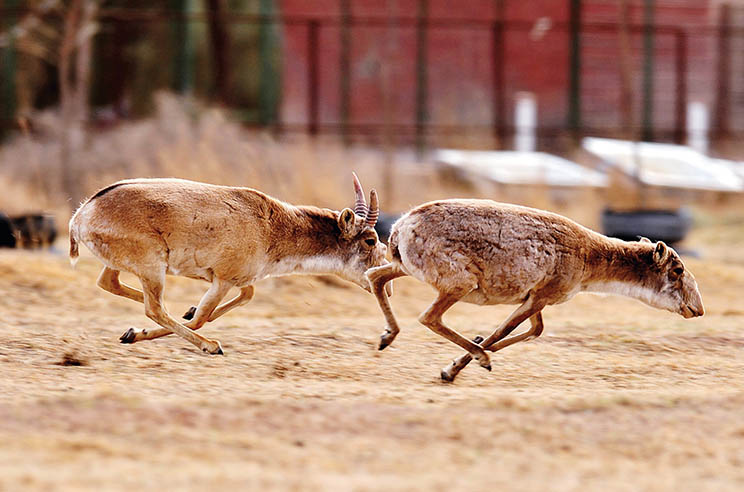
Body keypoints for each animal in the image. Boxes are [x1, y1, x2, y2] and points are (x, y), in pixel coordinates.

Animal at [69, 174, 388, 355]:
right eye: (371, 240)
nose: (383, 281)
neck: (274, 228)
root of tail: (82, 215)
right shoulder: (223, 278)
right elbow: (203, 317)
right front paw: (209, 342)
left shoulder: (234, 278)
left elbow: (246, 296)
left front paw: (184, 311)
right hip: (152, 265)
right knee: (154, 308)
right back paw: (202, 343)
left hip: (126, 264)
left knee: (109, 282)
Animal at [365, 199, 705, 382]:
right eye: (677, 271)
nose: (698, 309)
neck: (589, 257)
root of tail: (400, 227)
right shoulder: (541, 295)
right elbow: (504, 330)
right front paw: (457, 367)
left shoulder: (536, 299)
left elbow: (534, 330)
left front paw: (472, 351)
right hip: (458, 282)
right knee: (428, 316)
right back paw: (478, 356)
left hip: (403, 266)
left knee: (375, 276)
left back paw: (387, 337)